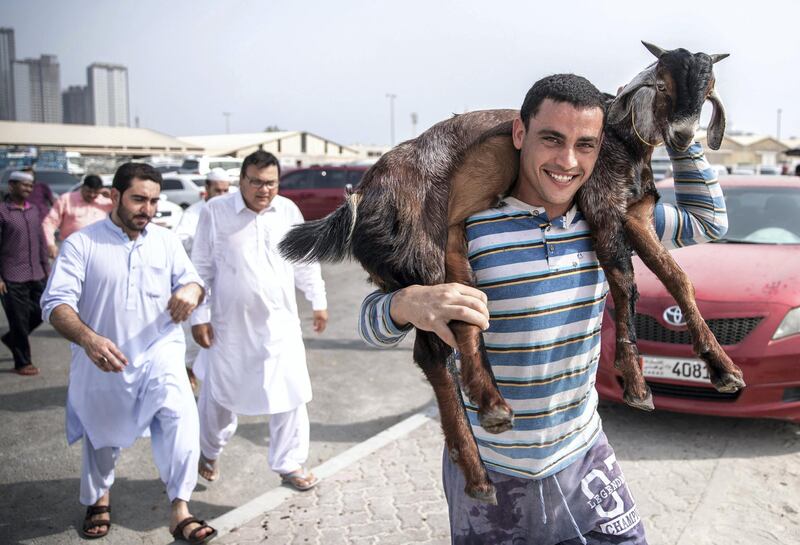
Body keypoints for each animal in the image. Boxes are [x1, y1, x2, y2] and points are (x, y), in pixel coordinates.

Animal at [280, 41, 744, 502]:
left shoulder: (638, 216)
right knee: (433, 351)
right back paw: (484, 447)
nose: (682, 135)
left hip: (449, 249)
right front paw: (637, 385)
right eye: (662, 84)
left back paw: (488, 423)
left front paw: (724, 370)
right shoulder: (602, 207)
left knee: (461, 327)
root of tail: (358, 199)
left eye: (708, 90)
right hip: (420, 259)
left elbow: (677, 279)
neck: (623, 141)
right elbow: (625, 283)